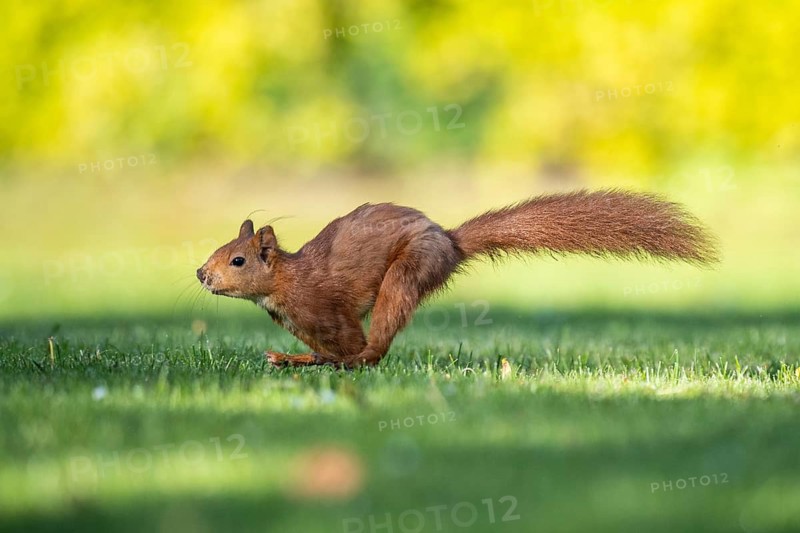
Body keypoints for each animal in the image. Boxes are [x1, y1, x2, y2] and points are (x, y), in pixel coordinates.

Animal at [196, 189, 718, 368]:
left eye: (237, 260)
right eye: (218, 250)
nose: (201, 273)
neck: (287, 285)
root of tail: (449, 240)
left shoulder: (329, 312)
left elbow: (352, 347)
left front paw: (313, 359)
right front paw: (303, 355)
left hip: (407, 272)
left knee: (374, 350)